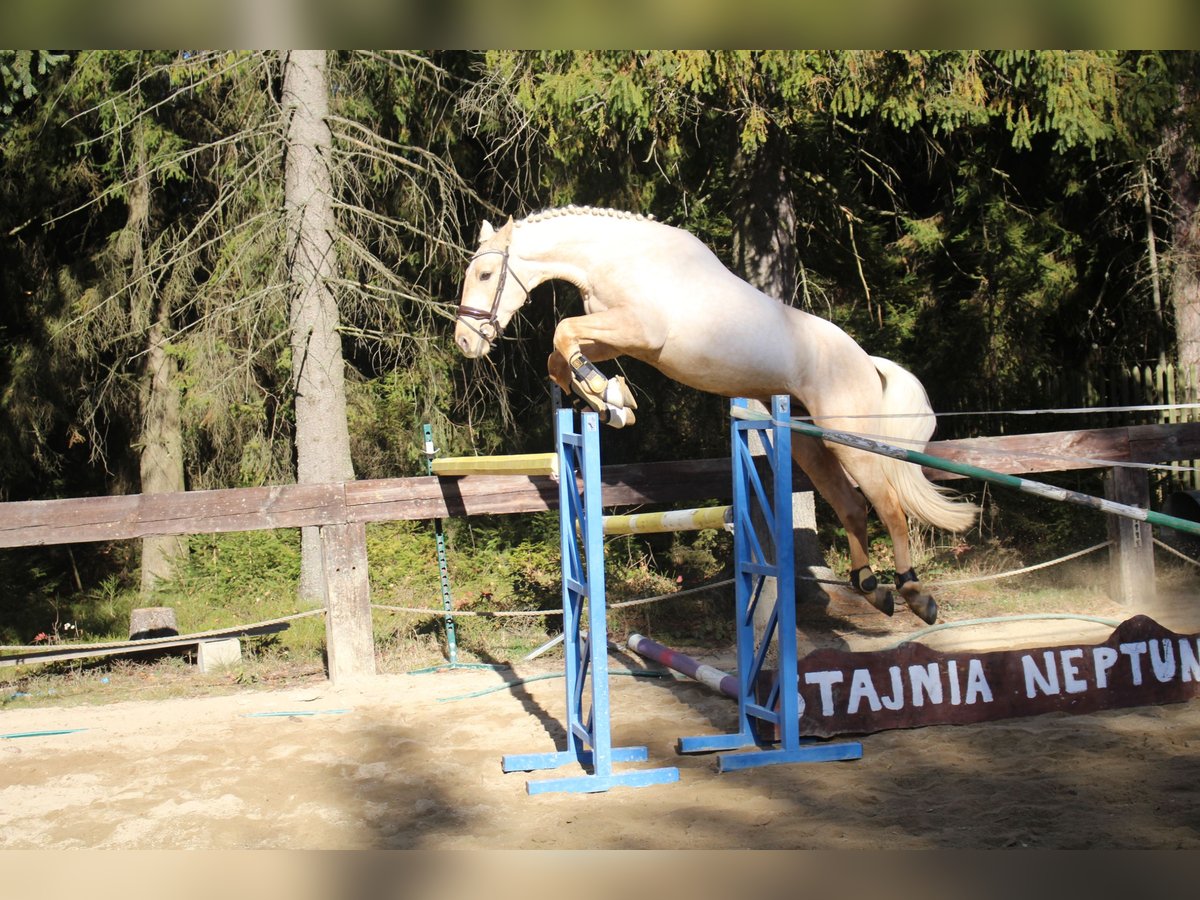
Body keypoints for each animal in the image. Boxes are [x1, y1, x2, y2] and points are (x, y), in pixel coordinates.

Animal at [451, 207, 974, 624]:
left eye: (484, 275)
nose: (464, 342)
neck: (615, 258)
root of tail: (867, 362)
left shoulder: (639, 331)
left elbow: (562, 333)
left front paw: (608, 394)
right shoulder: (619, 337)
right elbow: (559, 357)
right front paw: (610, 401)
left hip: (849, 438)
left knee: (889, 507)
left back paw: (913, 593)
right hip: (810, 442)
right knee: (851, 505)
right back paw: (870, 587)